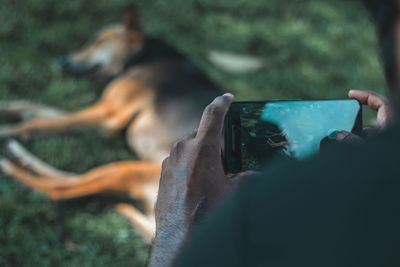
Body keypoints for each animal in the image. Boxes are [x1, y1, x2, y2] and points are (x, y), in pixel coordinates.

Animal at [0, 7, 222, 243]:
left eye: (97, 40)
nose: (62, 62)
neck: (143, 58)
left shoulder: (108, 116)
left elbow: (36, 122)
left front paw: (5, 131)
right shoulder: (102, 114)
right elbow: (30, 108)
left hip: (130, 170)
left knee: (58, 190)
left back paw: (10, 164)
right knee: (70, 178)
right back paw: (19, 155)